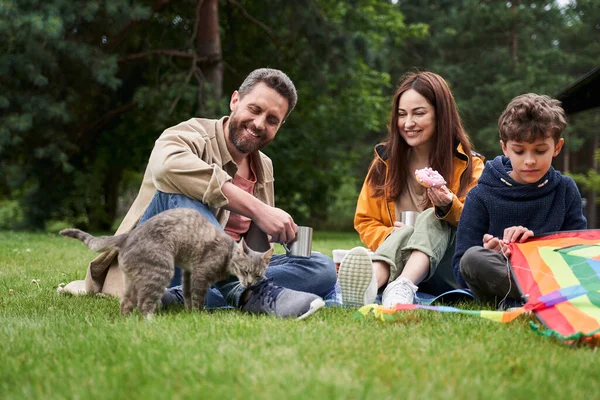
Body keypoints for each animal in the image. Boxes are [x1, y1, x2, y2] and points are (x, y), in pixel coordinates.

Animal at [59, 208, 272, 318]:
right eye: (245, 271)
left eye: (257, 275)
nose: (249, 283)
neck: (228, 254)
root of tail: (127, 236)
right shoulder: (200, 274)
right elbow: (198, 297)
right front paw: (197, 315)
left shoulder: (188, 272)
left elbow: (188, 294)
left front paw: (189, 313)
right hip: (161, 271)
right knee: (144, 303)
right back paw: (150, 322)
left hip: (134, 279)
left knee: (126, 302)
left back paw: (127, 320)